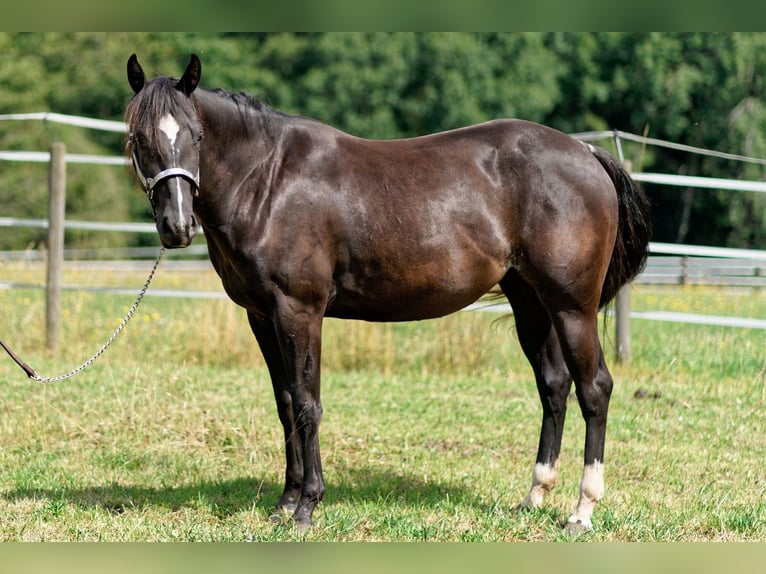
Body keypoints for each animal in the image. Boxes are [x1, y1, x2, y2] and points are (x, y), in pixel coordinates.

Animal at [125, 53, 651, 533]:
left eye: (195, 136)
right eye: (138, 139)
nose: (176, 227)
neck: (268, 180)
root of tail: (586, 153)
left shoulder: (299, 311)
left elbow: (308, 403)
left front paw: (307, 507)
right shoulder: (262, 316)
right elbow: (285, 403)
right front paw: (284, 502)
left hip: (571, 306)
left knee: (594, 388)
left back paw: (582, 510)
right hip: (530, 301)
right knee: (554, 386)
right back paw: (534, 496)